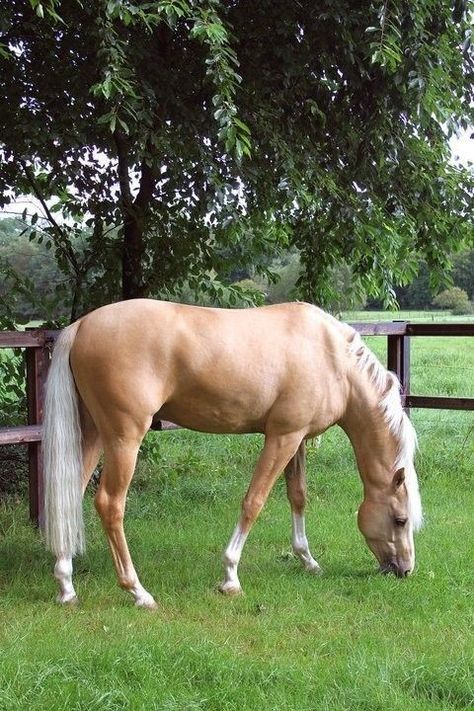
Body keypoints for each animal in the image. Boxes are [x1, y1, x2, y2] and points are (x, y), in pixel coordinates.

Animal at [43, 298, 422, 608]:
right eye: (400, 520)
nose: (405, 570)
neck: (332, 358)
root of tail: (82, 325)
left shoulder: (297, 439)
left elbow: (298, 496)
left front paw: (308, 560)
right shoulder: (281, 437)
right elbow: (254, 501)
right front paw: (230, 576)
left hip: (92, 434)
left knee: (69, 496)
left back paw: (66, 586)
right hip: (124, 439)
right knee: (110, 504)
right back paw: (138, 591)